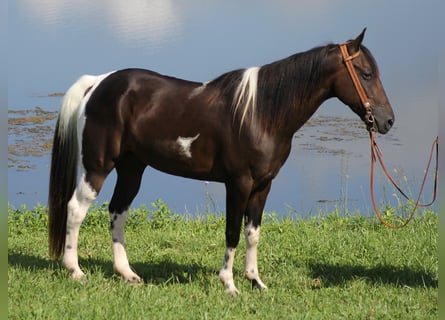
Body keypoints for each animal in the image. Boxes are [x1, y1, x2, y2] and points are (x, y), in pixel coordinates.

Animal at [48, 28, 394, 296]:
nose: (387, 120)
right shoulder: (238, 184)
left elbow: (253, 233)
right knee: (76, 210)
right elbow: (232, 232)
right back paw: (76, 271)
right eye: (366, 74)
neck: (261, 113)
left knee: (117, 213)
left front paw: (256, 281)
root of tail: (98, 83)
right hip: (97, 166)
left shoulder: (263, 186)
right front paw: (229, 285)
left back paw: (128, 274)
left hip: (132, 169)